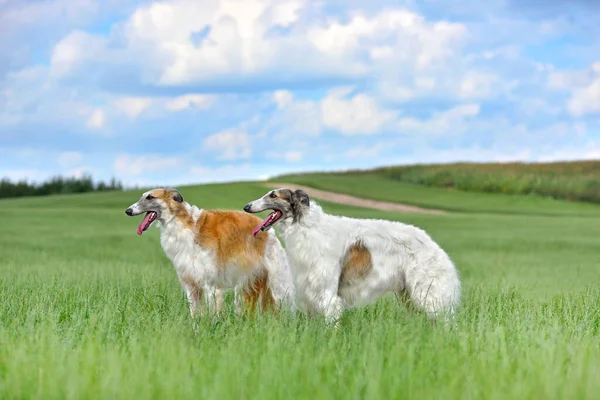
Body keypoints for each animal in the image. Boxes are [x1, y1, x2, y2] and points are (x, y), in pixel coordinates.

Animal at [125, 189, 296, 318]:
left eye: (150, 197)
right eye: (143, 196)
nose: (128, 211)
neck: (185, 226)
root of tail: (271, 233)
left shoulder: (211, 286)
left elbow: (213, 316)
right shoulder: (191, 286)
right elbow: (196, 317)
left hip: (275, 285)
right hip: (247, 286)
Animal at [243, 188, 460, 324]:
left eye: (273, 194)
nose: (246, 206)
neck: (306, 226)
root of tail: (434, 247)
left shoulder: (328, 291)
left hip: (428, 293)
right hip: (409, 295)